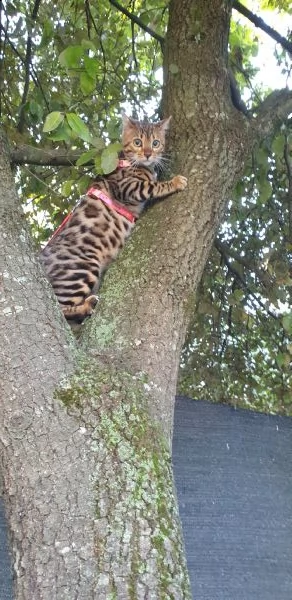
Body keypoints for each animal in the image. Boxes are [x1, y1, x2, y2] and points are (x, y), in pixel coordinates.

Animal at [40, 112, 187, 318]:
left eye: (156, 143)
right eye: (138, 142)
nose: (148, 154)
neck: (131, 162)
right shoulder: (128, 187)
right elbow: (152, 186)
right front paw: (174, 182)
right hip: (82, 267)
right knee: (60, 308)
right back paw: (87, 305)